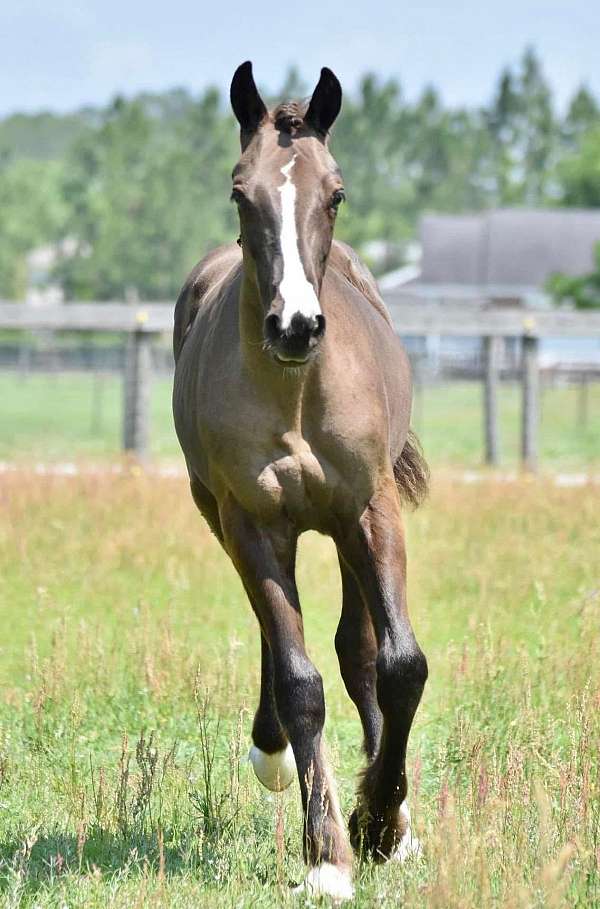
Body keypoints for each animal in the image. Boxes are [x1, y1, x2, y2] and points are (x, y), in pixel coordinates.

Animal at [171, 63, 428, 900]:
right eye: (240, 192)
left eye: (335, 192)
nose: (295, 326)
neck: (295, 393)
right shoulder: (251, 520)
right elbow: (299, 680)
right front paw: (329, 854)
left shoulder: (370, 508)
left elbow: (398, 663)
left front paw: (381, 823)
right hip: (225, 518)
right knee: (287, 641)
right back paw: (273, 750)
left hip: (344, 528)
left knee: (359, 645)